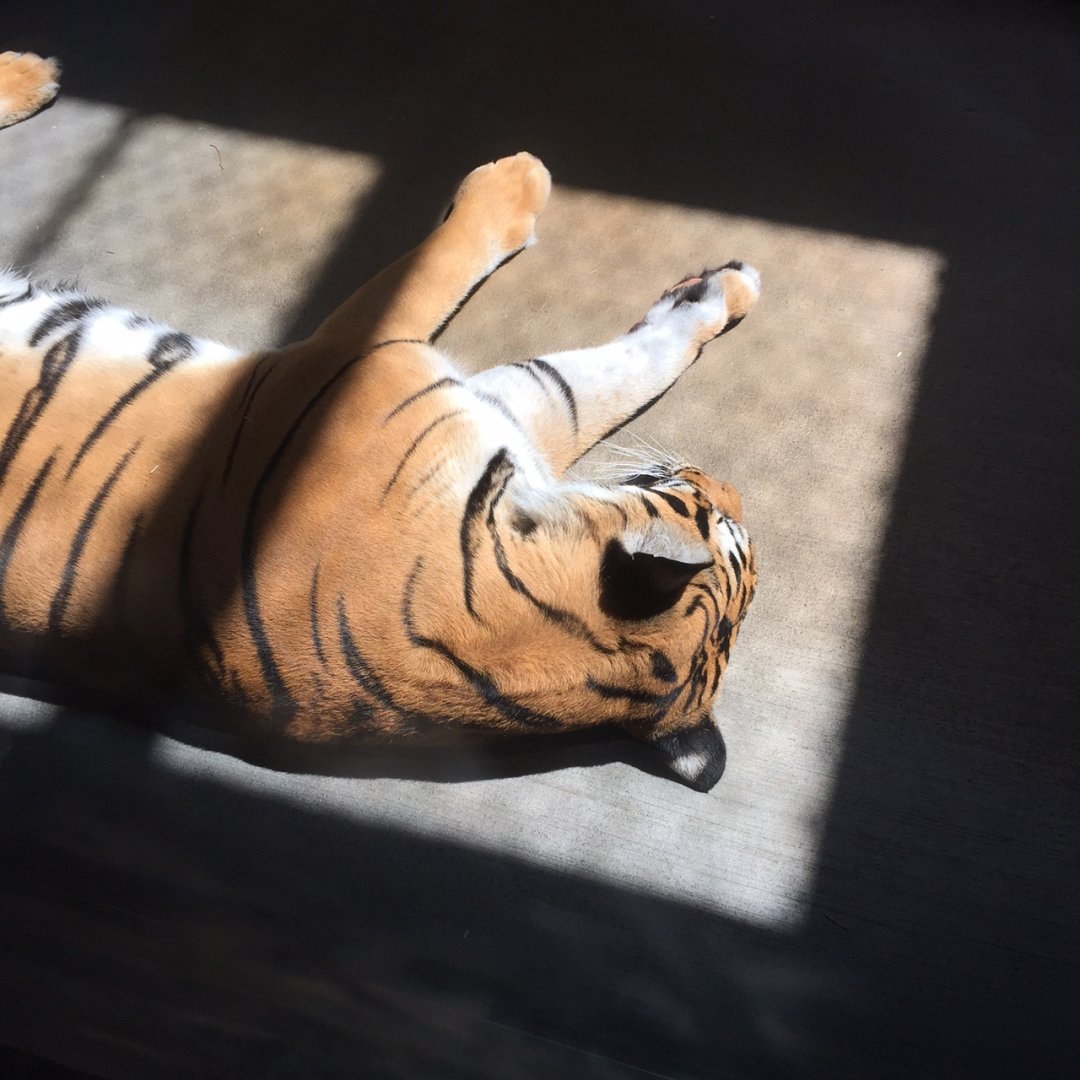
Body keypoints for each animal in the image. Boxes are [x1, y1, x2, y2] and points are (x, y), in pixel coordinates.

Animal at [0, 149, 760, 791]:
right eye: (725, 522)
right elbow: (610, 372)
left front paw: (519, 176)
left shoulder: (382, 357)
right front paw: (726, 290)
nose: (730, 487)